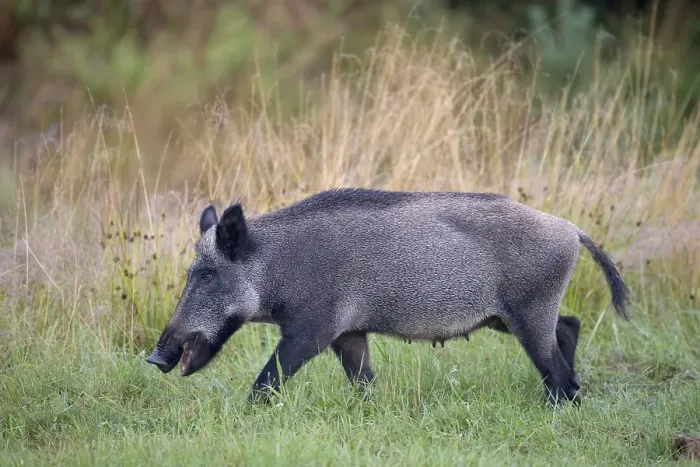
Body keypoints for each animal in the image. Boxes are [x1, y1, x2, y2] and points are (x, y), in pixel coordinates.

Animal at [145, 187, 631, 406]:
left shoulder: (312, 328)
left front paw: (248, 411)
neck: (276, 266)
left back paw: (562, 403)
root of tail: (570, 229)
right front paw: (371, 409)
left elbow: (269, 378)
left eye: (208, 274)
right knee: (570, 327)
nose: (153, 356)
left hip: (528, 311)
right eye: (192, 272)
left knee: (555, 361)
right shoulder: (349, 333)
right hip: (514, 317)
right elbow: (362, 378)